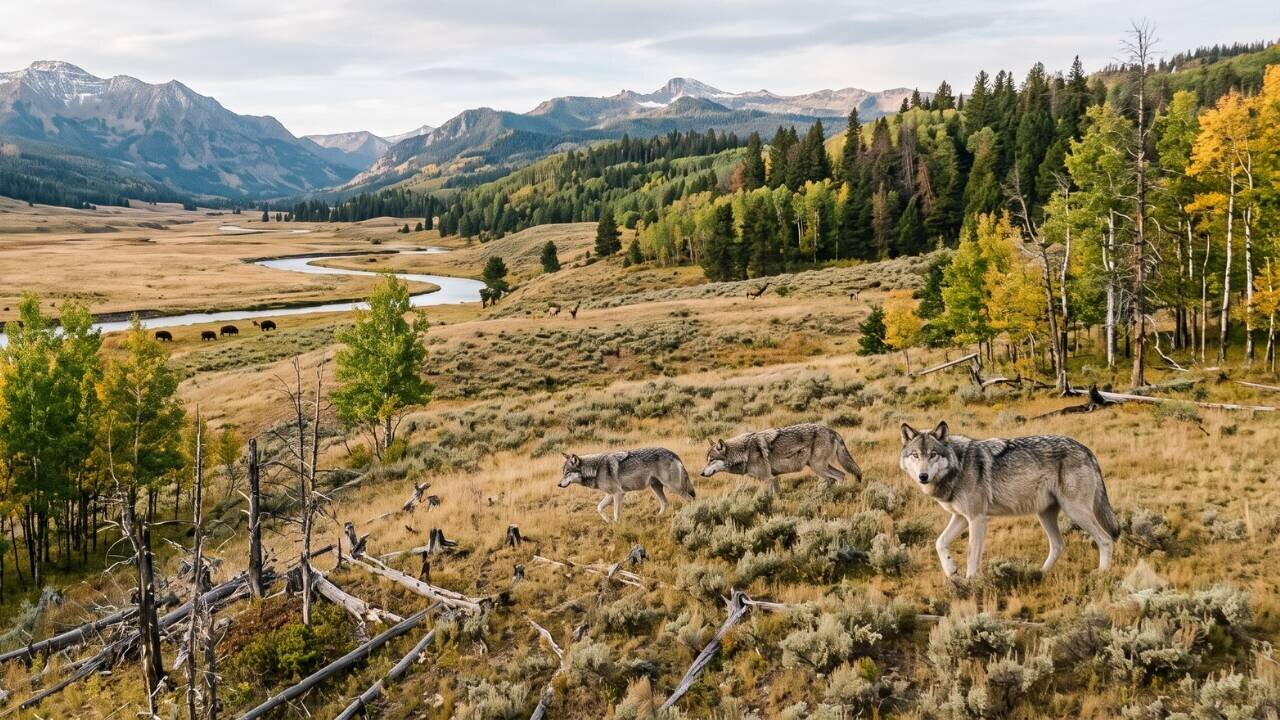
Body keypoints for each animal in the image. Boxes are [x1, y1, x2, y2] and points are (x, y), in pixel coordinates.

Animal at [558, 448, 696, 523]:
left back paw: (690, 513)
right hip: (656, 487)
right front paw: (608, 522)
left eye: (567, 473)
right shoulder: (610, 495)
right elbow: (599, 508)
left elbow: (616, 514)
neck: (596, 469)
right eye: (563, 473)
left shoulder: (618, 494)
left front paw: (616, 526)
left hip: (673, 487)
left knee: (690, 499)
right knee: (665, 503)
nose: (558, 484)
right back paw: (657, 517)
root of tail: (673, 453)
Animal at [701, 423, 862, 494]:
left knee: (839, 476)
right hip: (818, 467)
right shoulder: (774, 478)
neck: (744, 452)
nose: (701, 473)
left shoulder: (768, 479)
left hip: (818, 467)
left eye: (711, 460)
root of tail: (833, 431)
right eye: (706, 460)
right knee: (839, 476)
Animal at [899, 421, 1119, 578]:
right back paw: (1038, 574)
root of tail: (1086, 449)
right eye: (915, 455)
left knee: (1105, 539)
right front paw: (951, 570)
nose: (923, 476)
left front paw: (970, 585)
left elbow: (971, 556)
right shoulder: (961, 517)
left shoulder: (977, 518)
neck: (958, 466)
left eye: (933, 454)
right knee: (1058, 545)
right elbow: (939, 542)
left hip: (1074, 511)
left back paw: (1102, 574)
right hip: (1045, 514)